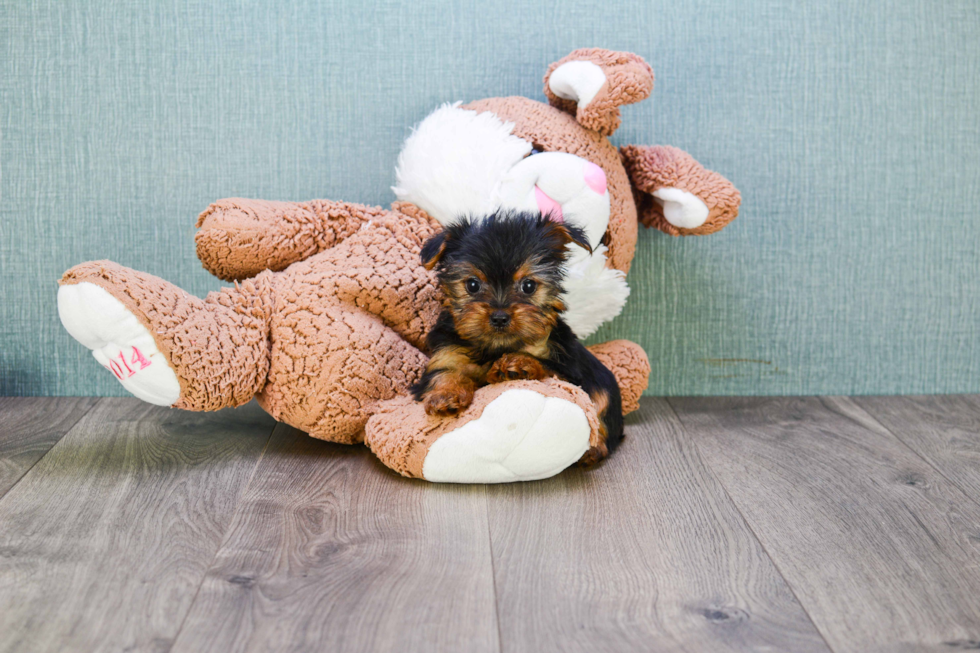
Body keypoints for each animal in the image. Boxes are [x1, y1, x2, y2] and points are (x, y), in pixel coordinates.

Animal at [410, 211, 624, 460]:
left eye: (528, 286)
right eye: (472, 285)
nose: (500, 317)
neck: (495, 347)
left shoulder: (569, 370)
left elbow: (550, 368)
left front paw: (519, 363)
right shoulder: (446, 354)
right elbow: (444, 373)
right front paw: (445, 395)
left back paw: (593, 450)